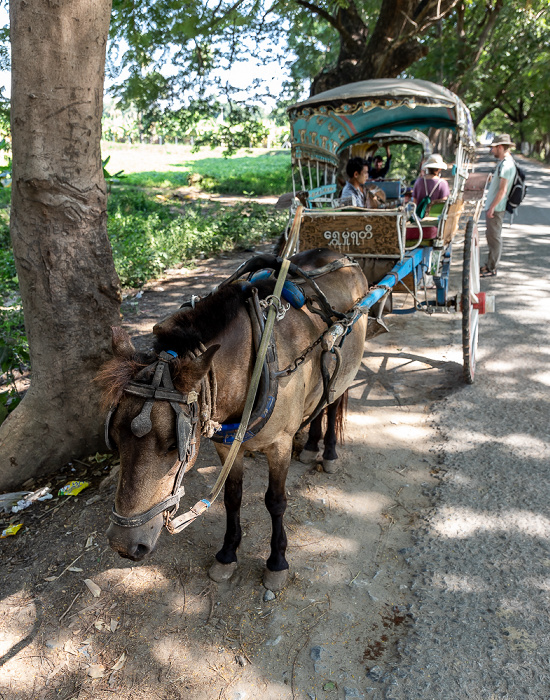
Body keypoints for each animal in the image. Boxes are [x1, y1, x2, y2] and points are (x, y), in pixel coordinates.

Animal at [101, 247, 368, 592]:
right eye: (116, 440)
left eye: (175, 445)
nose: (124, 544)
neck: (254, 363)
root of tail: (339, 254)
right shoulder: (227, 447)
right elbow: (232, 498)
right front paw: (228, 554)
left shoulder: (279, 444)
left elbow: (276, 501)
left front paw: (277, 561)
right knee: (320, 402)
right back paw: (310, 446)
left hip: (345, 368)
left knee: (333, 403)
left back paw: (330, 453)